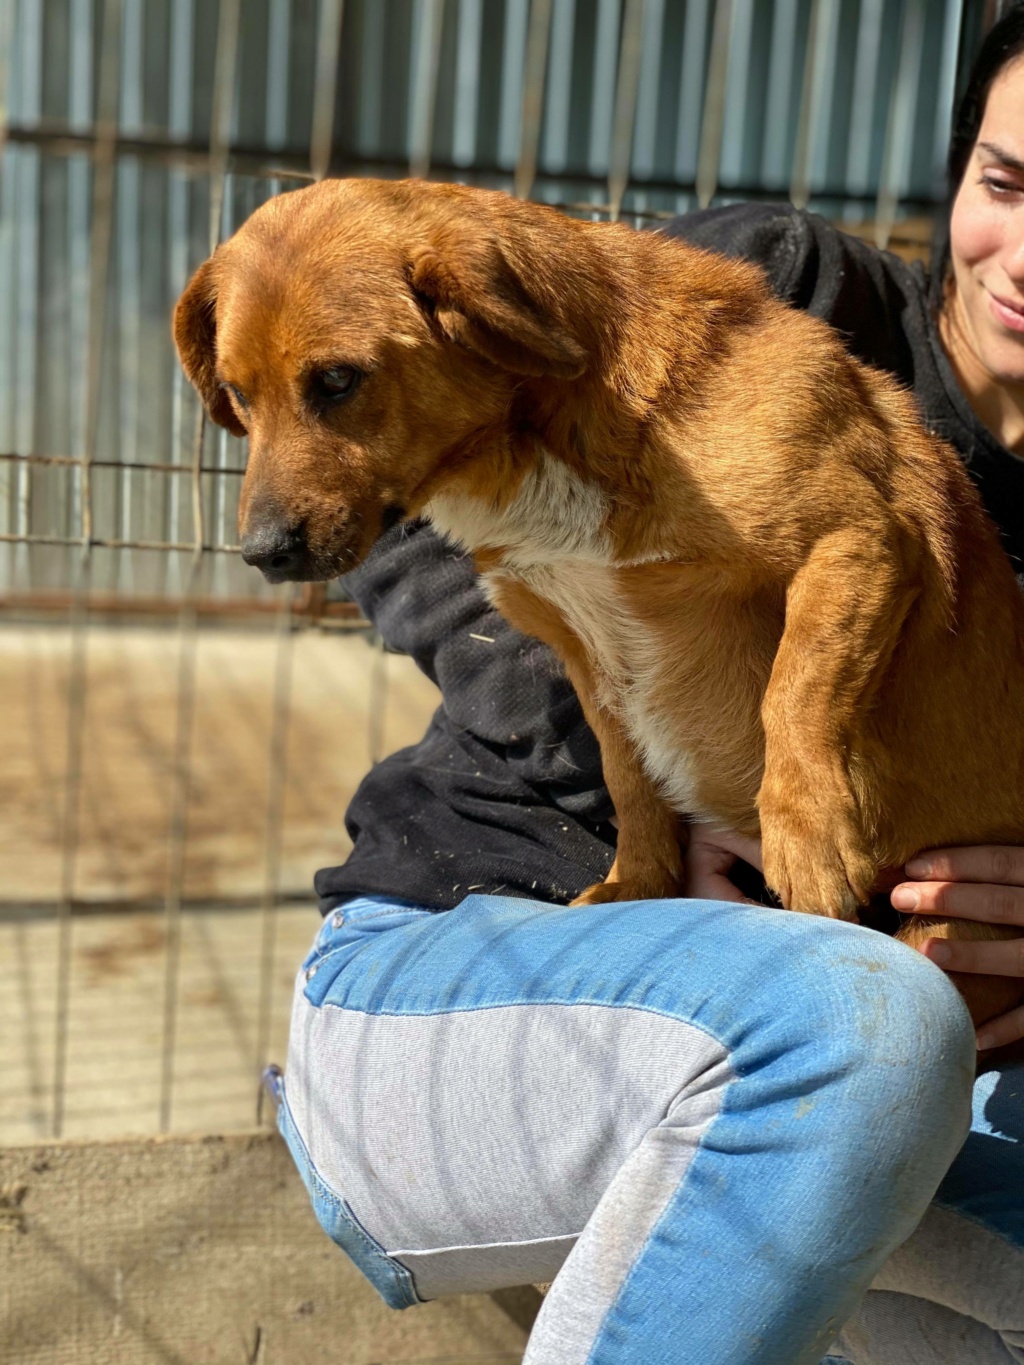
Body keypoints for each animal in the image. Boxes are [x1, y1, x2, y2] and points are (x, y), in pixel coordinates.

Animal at [174, 176, 1024, 1026]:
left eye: (338, 380)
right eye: (239, 396)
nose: (262, 553)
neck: (541, 442)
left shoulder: (859, 540)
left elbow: (796, 691)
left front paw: (807, 837)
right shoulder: (594, 664)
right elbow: (629, 778)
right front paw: (637, 886)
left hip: (950, 934)